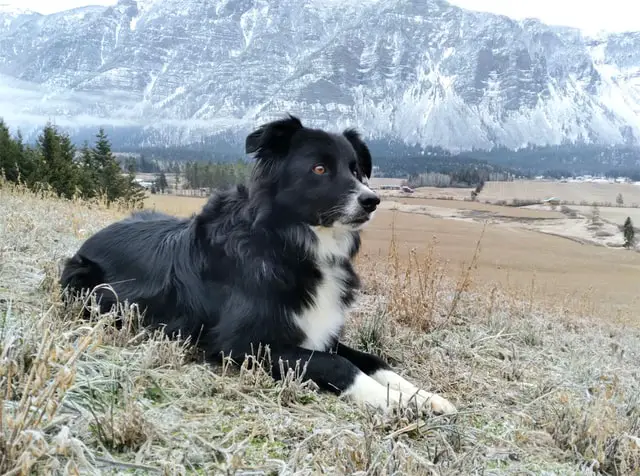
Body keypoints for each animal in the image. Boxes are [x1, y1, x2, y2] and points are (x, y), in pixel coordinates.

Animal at [60, 115, 458, 416]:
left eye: (356, 169)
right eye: (319, 168)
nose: (372, 200)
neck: (287, 244)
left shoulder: (318, 331)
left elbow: (372, 359)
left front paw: (423, 396)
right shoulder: (242, 346)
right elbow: (339, 364)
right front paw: (390, 400)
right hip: (84, 284)